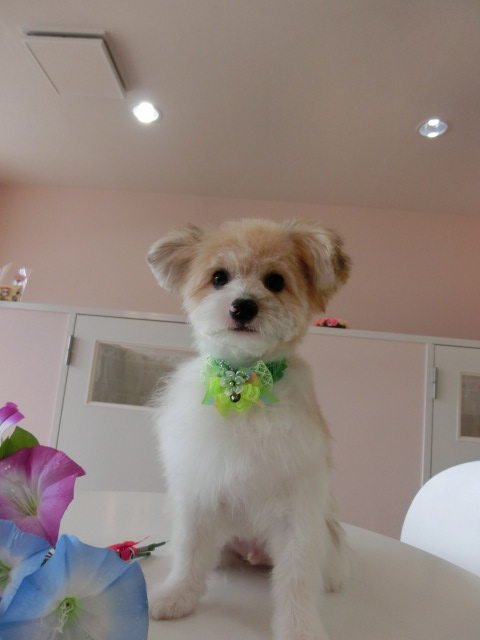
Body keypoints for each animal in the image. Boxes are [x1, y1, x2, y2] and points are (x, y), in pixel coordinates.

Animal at [147, 218, 350, 640]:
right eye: (218, 278)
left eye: (275, 281)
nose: (242, 305)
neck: (242, 385)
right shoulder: (198, 494)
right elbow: (190, 555)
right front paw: (177, 597)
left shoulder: (299, 513)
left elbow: (296, 580)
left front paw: (299, 628)